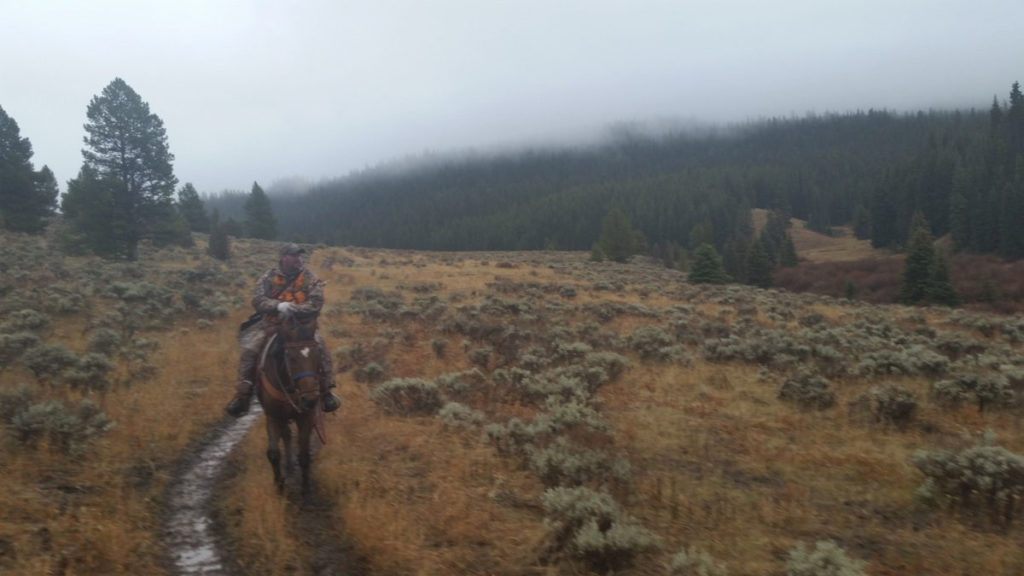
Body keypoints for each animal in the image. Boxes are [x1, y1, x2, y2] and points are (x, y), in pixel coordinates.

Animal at [251, 313, 323, 494]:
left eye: (318, 354)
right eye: (291, 357)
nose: (310, 399)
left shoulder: (305, 417)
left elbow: (304, 455)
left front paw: (306, 488)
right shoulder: (273, 416)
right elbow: (273, 453)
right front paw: (279, 485)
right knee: (286, 435)